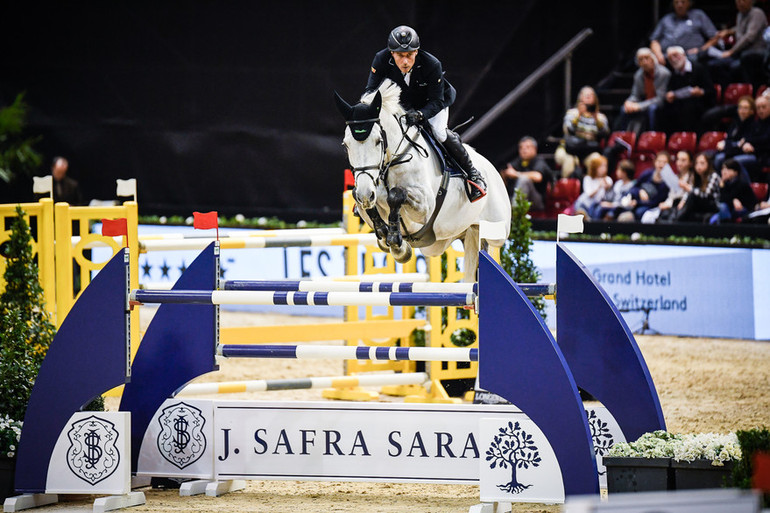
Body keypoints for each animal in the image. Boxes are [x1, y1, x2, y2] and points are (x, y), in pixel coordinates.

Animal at [334, 79, 510, 284]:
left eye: (378, 141)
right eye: (346, 144)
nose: (365, 194)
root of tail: (493, 170)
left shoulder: (424, 206)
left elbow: (396, 195)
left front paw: (396, 242)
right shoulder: (366, 198)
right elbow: (366, 204)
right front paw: (388, 238)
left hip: (496, 229)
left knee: (491, 245)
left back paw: (477, 182)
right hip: (444, 241)